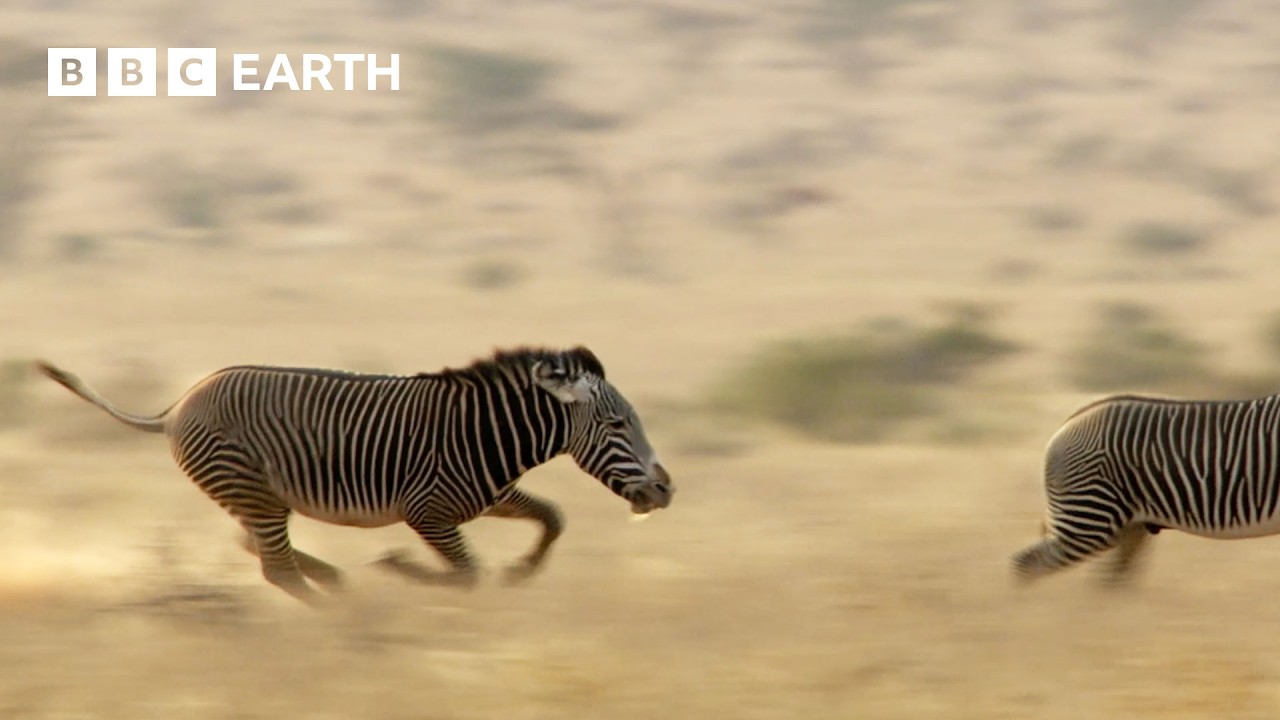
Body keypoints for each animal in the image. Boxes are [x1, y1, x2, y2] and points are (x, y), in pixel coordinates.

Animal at [36, 346, 674, 603]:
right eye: (618, 424)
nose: (666, 490)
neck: (490, 434)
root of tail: (178, 404)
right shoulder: (429, 512)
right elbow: (466, 575)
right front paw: (398, 568)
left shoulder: (487, 497)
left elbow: (553, 516)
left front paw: (522, 570)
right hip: (249, 486)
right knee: (275, 569)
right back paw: (340, 614)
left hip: (258, 493)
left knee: (258, 547)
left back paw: (334, 582)